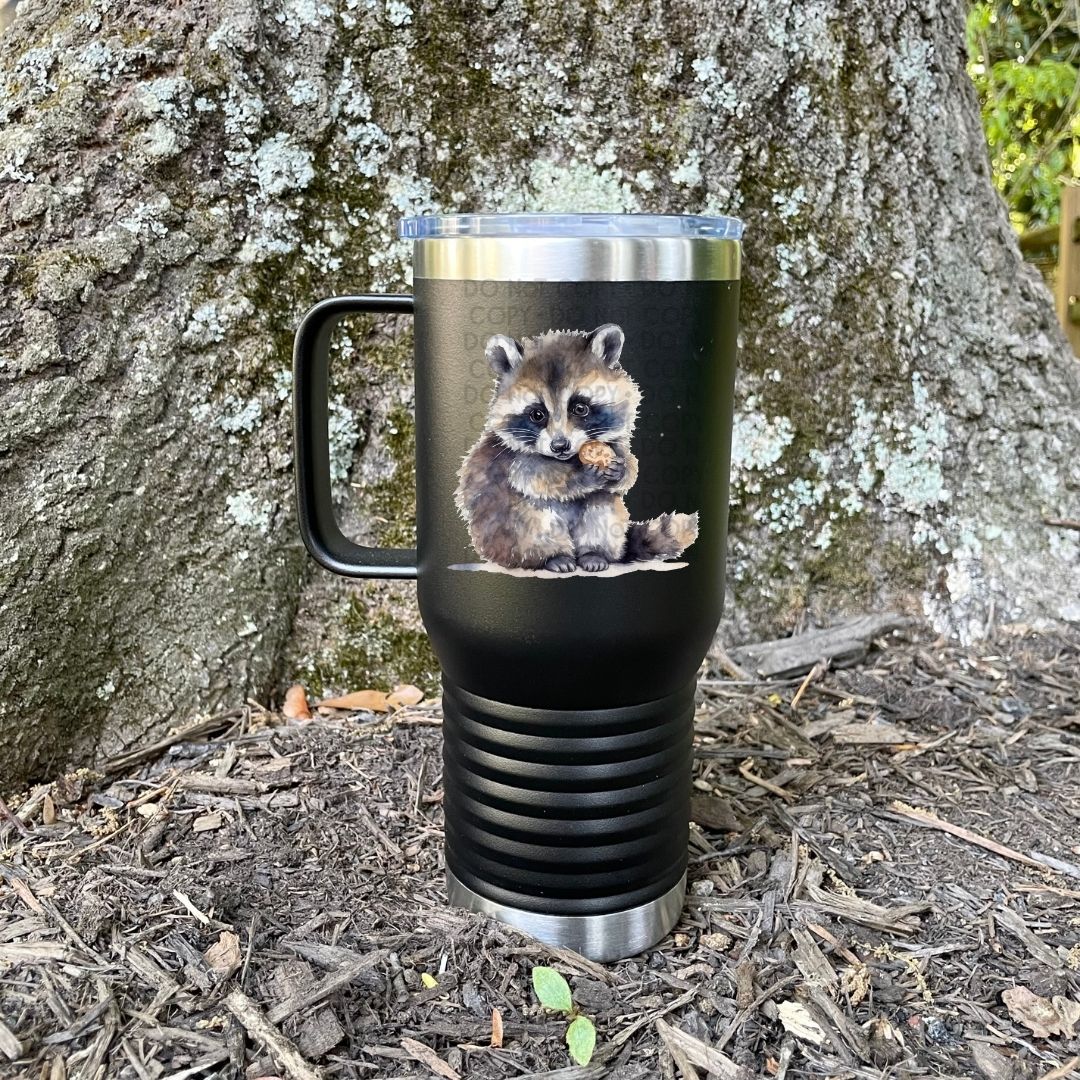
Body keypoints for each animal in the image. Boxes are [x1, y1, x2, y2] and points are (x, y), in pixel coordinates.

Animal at [454, 323, 699, 573]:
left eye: (580, 408)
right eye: (537, 414)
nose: (560, 446)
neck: (568, 459)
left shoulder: (612, 443)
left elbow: (628, 464)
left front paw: (622, 470)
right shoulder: (513, 459)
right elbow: (533, 477)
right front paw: (580, 477)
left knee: (602, 502)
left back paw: (593, 553)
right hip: (504, 535)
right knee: (531, 518)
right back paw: (552, 556)